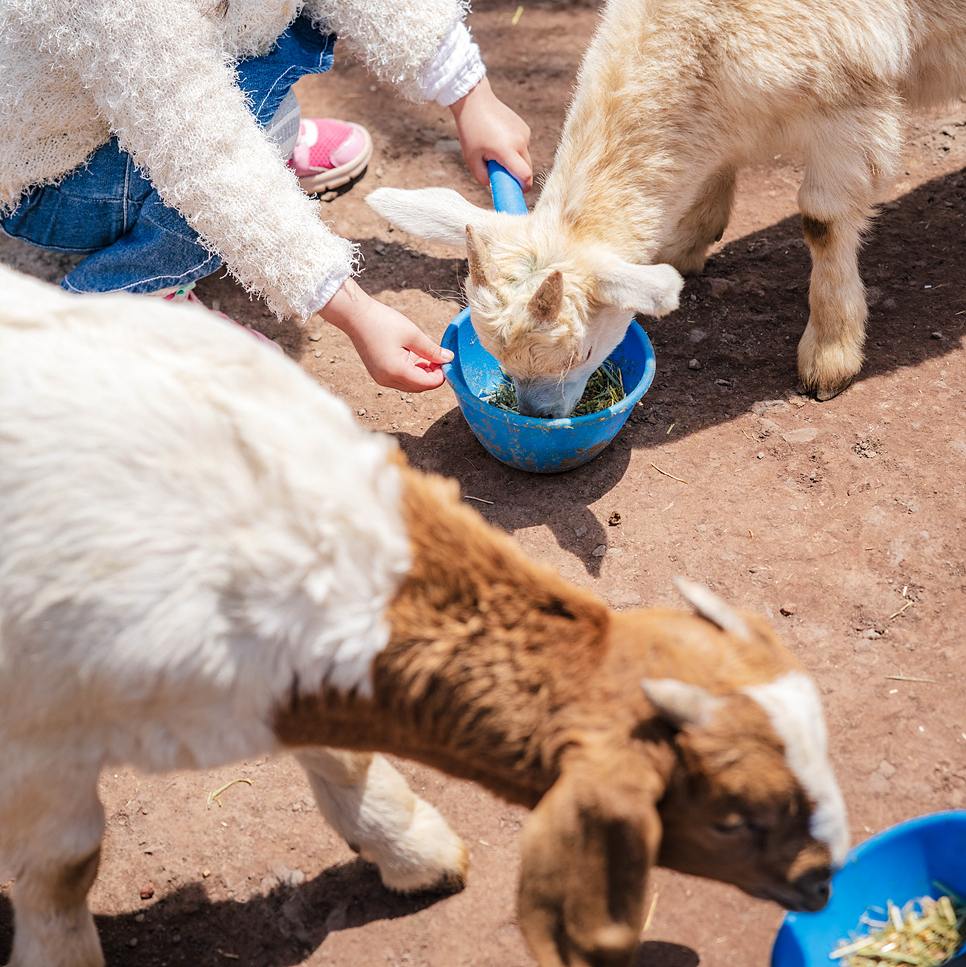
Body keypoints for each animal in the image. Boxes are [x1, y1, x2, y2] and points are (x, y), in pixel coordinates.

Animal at [0, 266, 848, 967]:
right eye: (736, 817)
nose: (823, 886)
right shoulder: (39, 737)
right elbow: (65, 869)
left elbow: (343, 757)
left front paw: (411, 849)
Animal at [366, 0, 966, 414]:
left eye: (583, 354)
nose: (540, 416)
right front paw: (683, 246)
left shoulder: (851, 100)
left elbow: (821, 222)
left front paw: (830, 353)